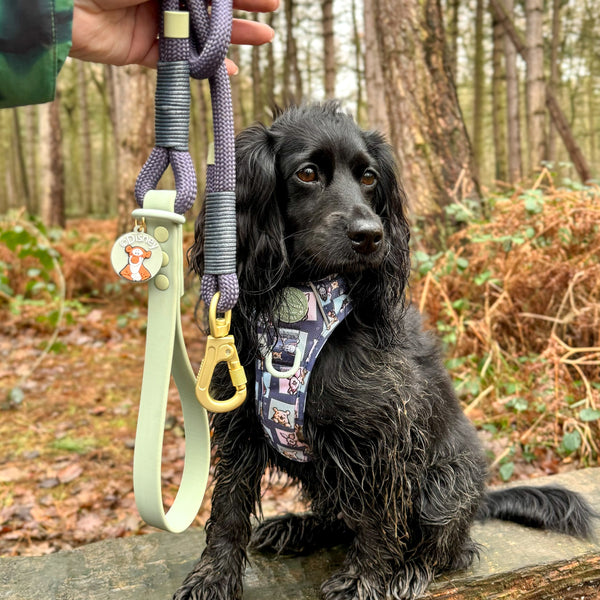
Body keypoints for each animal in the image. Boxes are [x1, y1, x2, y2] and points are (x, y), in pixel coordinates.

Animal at [173, 104, 596, 600]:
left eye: (369, 177)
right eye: (308, 173)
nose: (371, 236)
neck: (302, 304)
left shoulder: (381, 436)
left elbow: (378, 519)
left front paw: (366, 579)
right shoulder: (240, 424)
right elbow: (229, 508)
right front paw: (213, 577)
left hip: (446, 482)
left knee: (449, 546)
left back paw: (409, 569)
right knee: (338, 516)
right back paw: (299, 527)